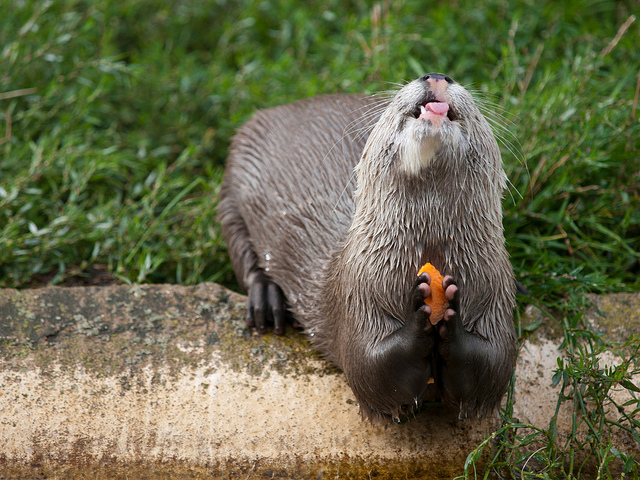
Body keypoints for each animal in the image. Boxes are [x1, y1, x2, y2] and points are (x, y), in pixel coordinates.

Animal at [217, 74, 517, 423]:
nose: (436, 76)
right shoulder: (358, 294)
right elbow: (371, 369)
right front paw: (418, 316)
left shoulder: (494, 291)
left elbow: (493, 366)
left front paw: (452, 320)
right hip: (234, 180)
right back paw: (266, 298)